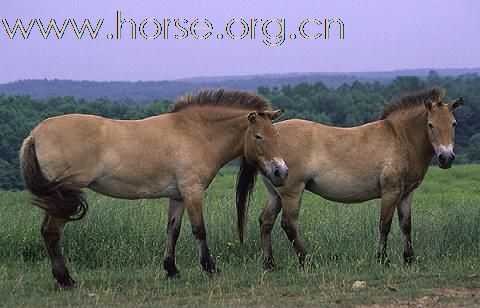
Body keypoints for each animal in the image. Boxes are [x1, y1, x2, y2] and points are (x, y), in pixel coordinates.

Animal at [19, 89, 288, 288]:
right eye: (258, 136)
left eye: (276, 135)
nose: (281, 172)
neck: (197, 132)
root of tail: (35, 134)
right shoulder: (192, 191)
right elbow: (199, 230)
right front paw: (211, 269)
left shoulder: (178, 196)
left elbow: (173, 231)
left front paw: (172, 270)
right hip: (64, 197)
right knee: (52, 233)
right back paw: (66, 280)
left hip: (56, 199)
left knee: (47, 231)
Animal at [238, 86, 464, 268]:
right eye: (431, 125)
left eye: (453, 123)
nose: (446, 158)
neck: (400, 137)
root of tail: (272, 132)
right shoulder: (391, 192)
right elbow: (385, 224)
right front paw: (382, 259)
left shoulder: (406, 193)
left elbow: (406, 225)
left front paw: (409, 259)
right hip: (291, 192)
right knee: (288, 224)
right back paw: (307, 261)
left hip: (275, 193)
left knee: (266, 221)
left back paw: (269, 264)